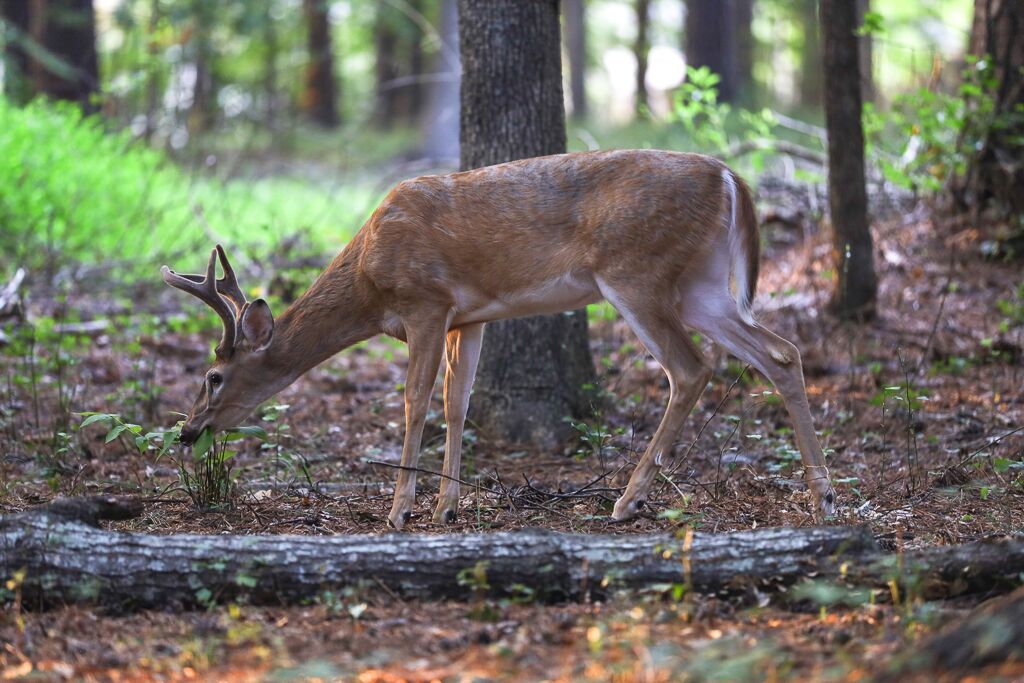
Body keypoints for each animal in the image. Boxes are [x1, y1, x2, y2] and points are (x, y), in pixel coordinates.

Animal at [162, 149, 836, 530]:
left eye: (213, 376)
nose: (188, 432)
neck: (368, 281)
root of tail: (731, 177)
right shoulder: (470, 317)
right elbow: (458, 404)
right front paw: (447, 507)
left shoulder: (426, 302)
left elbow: (415, 402)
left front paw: (400, 509)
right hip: (700, 284)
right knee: (780, 352)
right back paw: (824, 497)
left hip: (635, 272)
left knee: (690, 369)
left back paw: (627, 502)